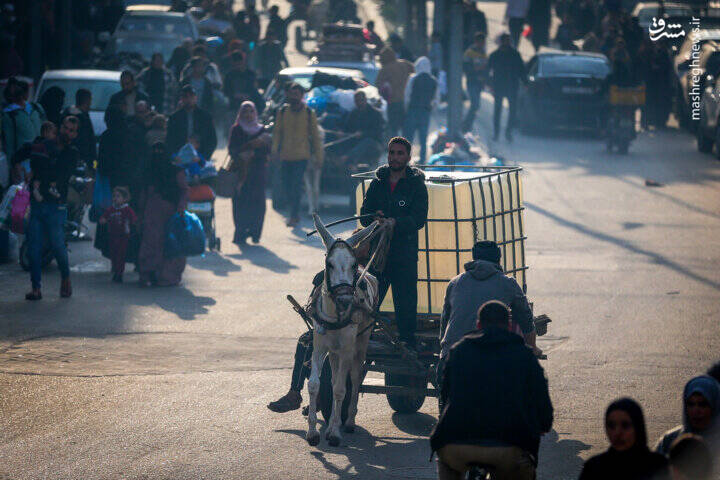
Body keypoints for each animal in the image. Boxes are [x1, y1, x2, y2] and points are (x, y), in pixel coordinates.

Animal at [306, 214, 381, 447]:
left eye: (353, 264)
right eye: (329, 264)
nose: (346, 299)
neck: (335, 315)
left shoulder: (348, 349)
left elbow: (340, 389)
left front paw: (334, 433)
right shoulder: (320, 347)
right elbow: (315, 384)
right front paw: (313, 432)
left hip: (361, 343)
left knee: (355, 378)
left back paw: (347, 422)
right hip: (334, 351)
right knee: (333, 378)